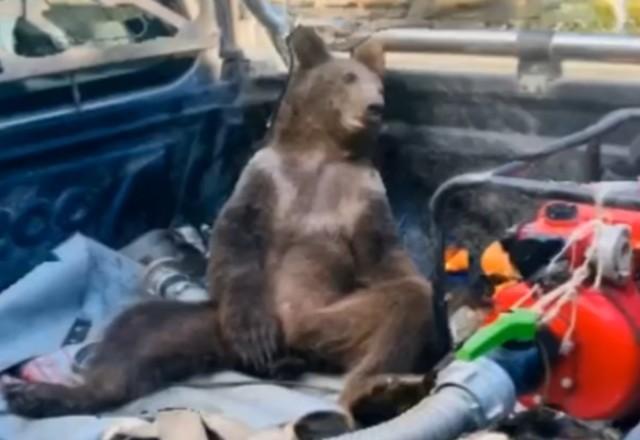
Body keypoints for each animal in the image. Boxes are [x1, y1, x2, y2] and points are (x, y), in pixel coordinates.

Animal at [3, 26, 439, 422]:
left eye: (377, 85)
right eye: (348, 77)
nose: (375, 106)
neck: (322, 154)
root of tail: (294, 346)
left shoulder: (361, 192)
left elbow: (383, 253)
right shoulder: (265, 177)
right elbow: (236, 236)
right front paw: (255, 333)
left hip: (329, 318)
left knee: (403, 305)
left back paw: (374, 390)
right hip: (208, 322)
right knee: (133, 336)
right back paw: (42, 395)